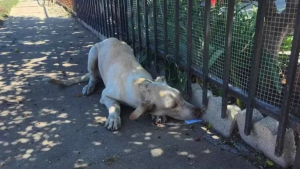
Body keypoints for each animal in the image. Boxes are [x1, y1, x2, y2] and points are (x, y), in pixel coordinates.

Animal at [42, 38, 202, 131]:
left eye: (182, 96)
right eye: (173, 106)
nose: (199, 111)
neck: (141, 86)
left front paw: (156, 116)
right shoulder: (105, 95)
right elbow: (115, 105)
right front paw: (113, 118)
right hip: (92, 53)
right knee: (92, 75)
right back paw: (90, 85)